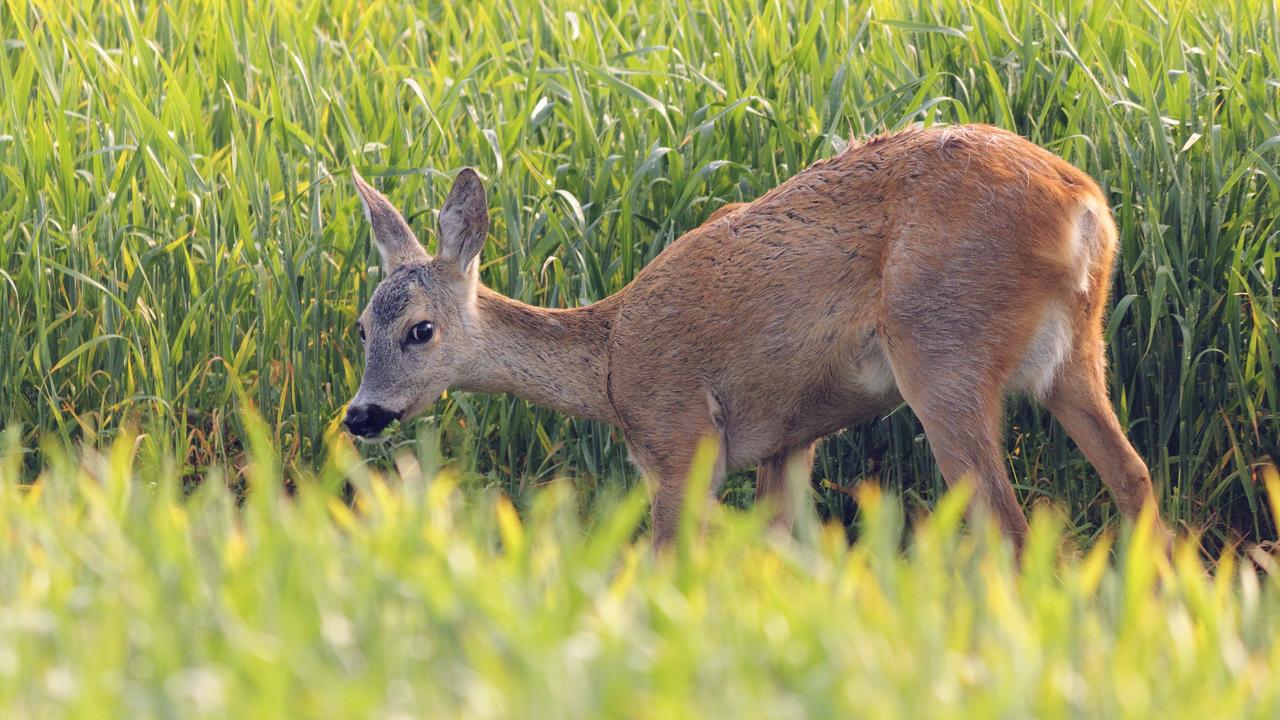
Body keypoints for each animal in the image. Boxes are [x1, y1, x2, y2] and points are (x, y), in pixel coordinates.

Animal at [343, 124, 1172, 548]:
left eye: (420, 330)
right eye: (359, 326)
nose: (359, 414)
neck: (608, 364)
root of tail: (1085, 208)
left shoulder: (679, 434)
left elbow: (670, 555)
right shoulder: (787, 439)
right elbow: (780, 549)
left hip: (943, 350)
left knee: (1008, 521)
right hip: (1075, 353)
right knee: (1134, 477)